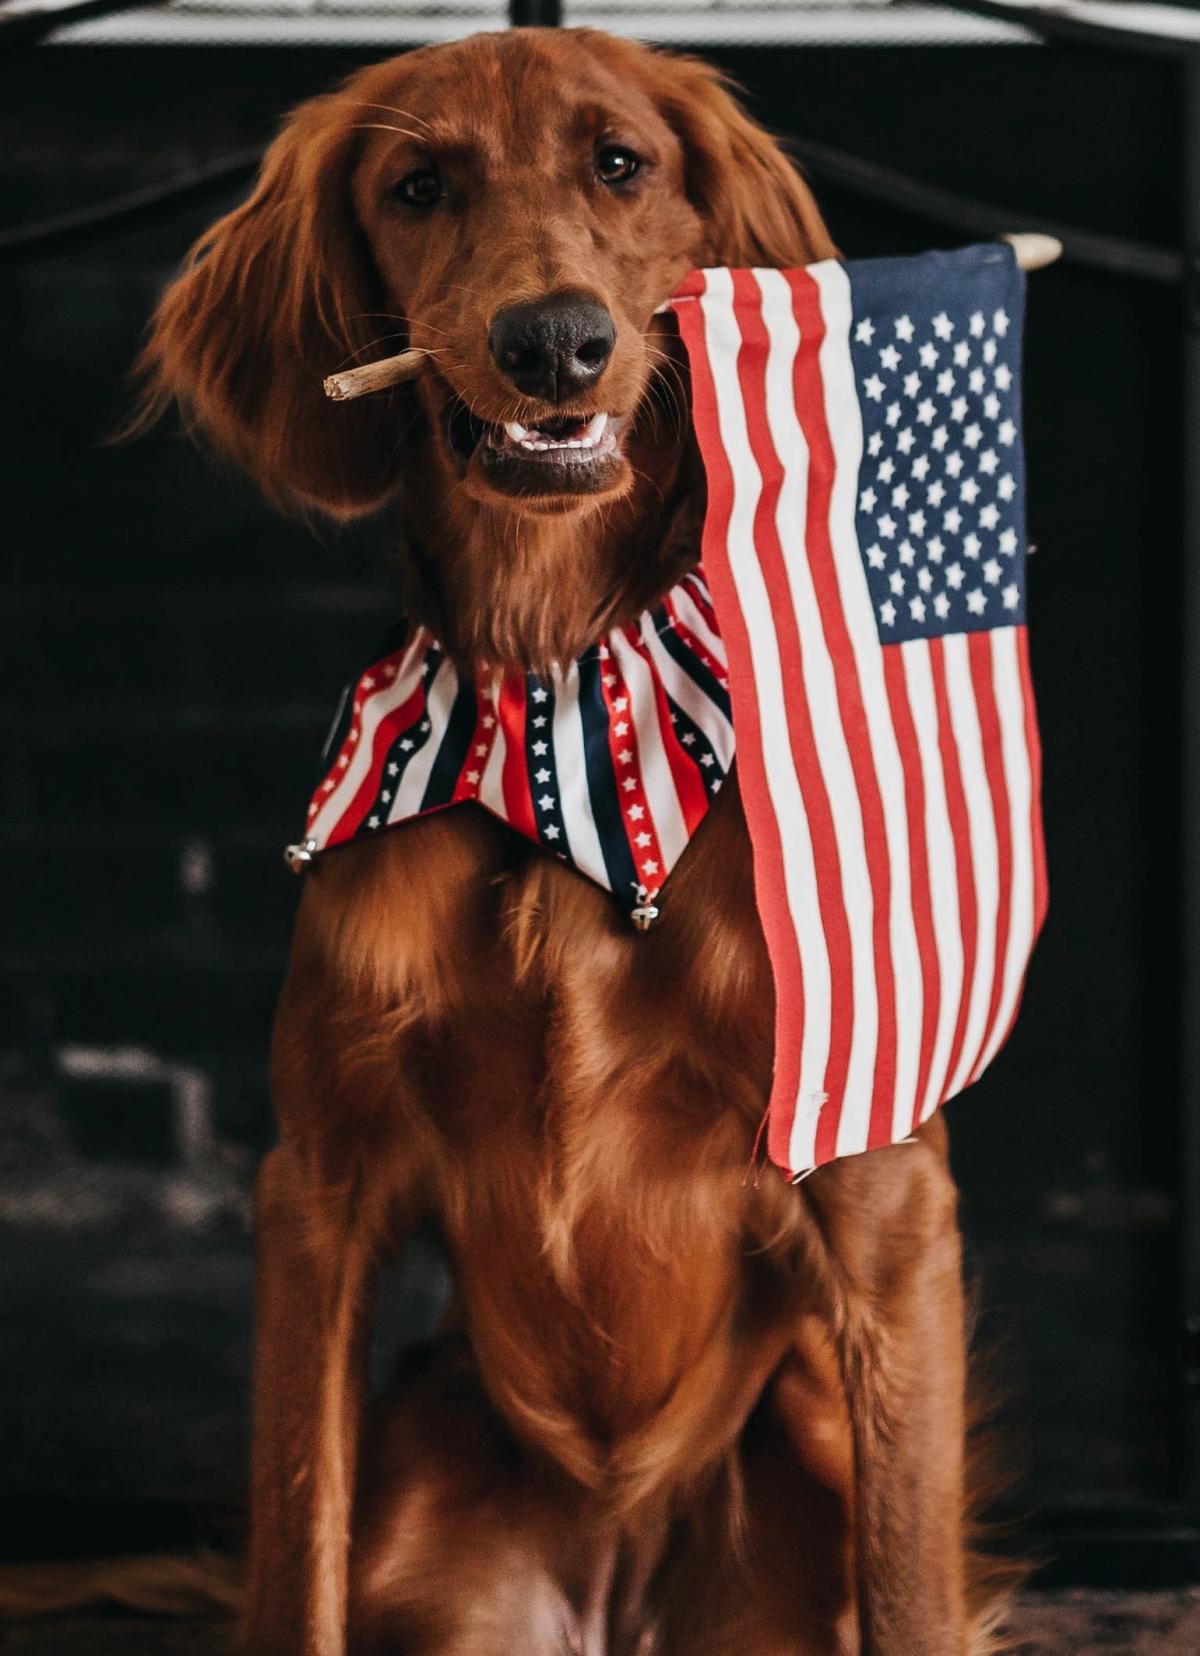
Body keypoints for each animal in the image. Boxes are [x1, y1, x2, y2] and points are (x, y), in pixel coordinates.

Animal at [135, 25, 1012, 1656]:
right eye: (418, 186)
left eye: (621, 163)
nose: (554, 342)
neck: (553, 707)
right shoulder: (317, 1188)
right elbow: (295, 1556)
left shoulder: (880, 1188)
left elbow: (916, 1588)